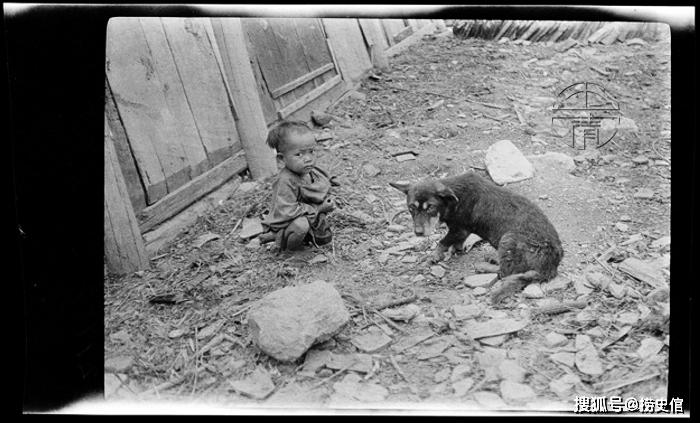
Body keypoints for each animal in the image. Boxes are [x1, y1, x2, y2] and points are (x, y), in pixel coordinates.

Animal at [392, 171, 568, 304]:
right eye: (411, 208)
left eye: (430, 208)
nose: (418, 233)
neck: (455, 198)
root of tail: (551, 266)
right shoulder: (460, 232)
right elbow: (454, 243)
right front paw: (454, 250)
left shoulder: (459, 230)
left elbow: (441, 242)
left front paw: (434, 256)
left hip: (508, 238)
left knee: (505, 273)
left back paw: (485, 266)